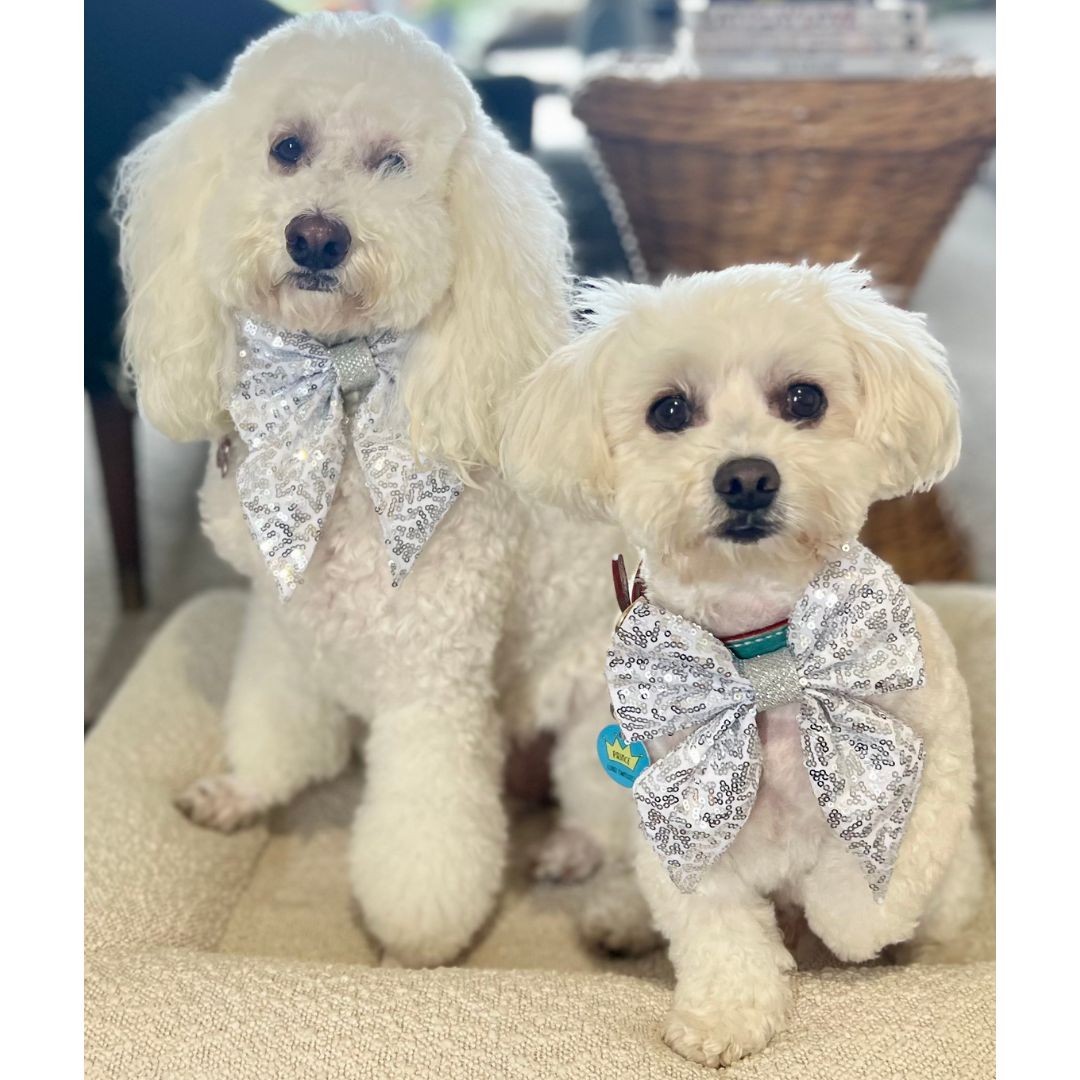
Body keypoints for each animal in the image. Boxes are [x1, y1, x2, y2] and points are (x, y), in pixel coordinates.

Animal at [113, 14, 630, 963]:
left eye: (393, 162)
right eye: (286, 147)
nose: (316, 236)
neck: (339, 408)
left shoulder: (432, 679)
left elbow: (425, 833)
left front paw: (413, 939)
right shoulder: (281, 623)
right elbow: (276, 721)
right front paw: (247, 788)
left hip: (594, 719)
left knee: (606, 814)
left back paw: (576, 856)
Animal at [501, 265, 989, 1067]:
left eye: (804, 399)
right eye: (669, 410)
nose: (748, 478)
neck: (768, 665)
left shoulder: (935, 755)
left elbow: (872, 880)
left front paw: (845, 914)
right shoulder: (687, 821)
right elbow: (719, 934)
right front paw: (724, 1019)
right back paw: (617, 913)